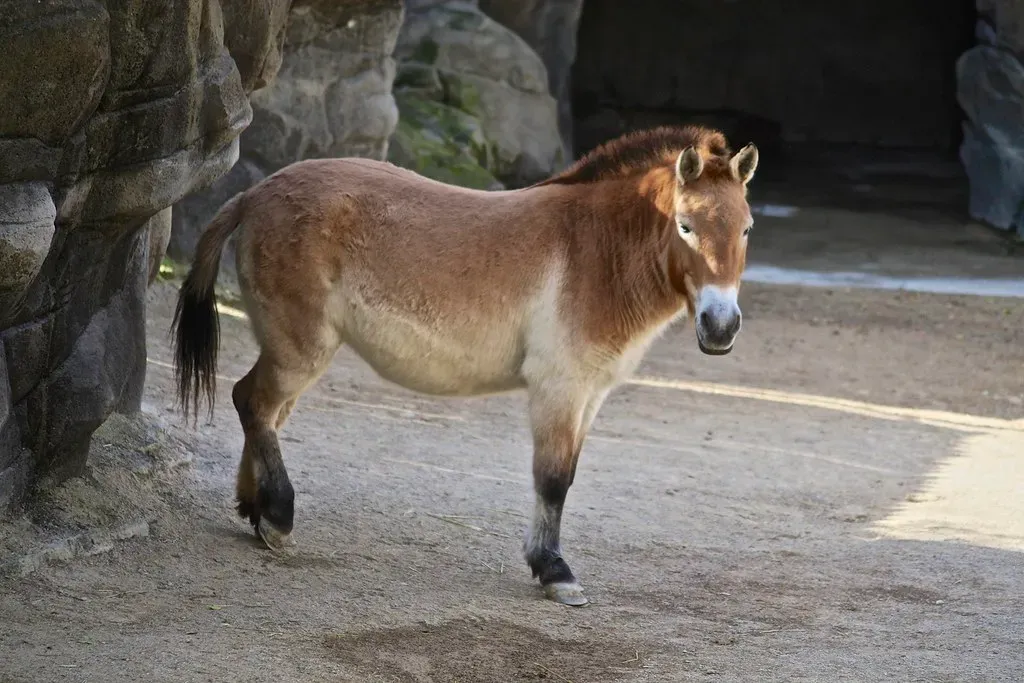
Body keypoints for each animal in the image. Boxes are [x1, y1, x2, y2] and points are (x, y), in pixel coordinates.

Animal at [171, 124, 758, 606]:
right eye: (685, 226)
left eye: (747, 229)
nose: (721, 327)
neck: (595, 249)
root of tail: (254, 195)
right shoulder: (560, 389)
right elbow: (552, 480)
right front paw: (555, 572)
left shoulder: (591, 394)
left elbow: (566, 475)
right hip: (301, 350)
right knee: (252, 403)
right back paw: (278, 518)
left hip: (293, 352)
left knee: (265, 414)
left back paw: (256, 513)